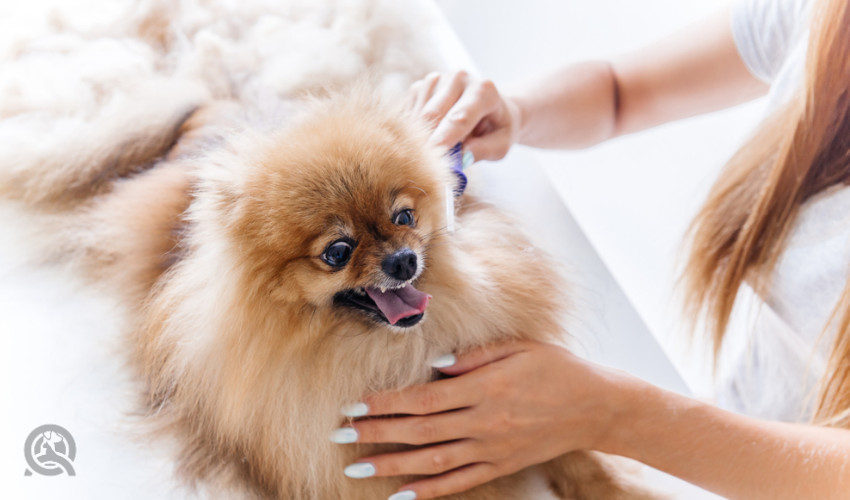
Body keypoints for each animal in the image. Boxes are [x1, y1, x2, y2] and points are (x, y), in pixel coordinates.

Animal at [1, 84, 656, 498]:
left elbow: (575, 445)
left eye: (404, 216)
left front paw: (618, 490)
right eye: (337, 253)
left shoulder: (523, 404)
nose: (402, 260)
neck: (396, 355)